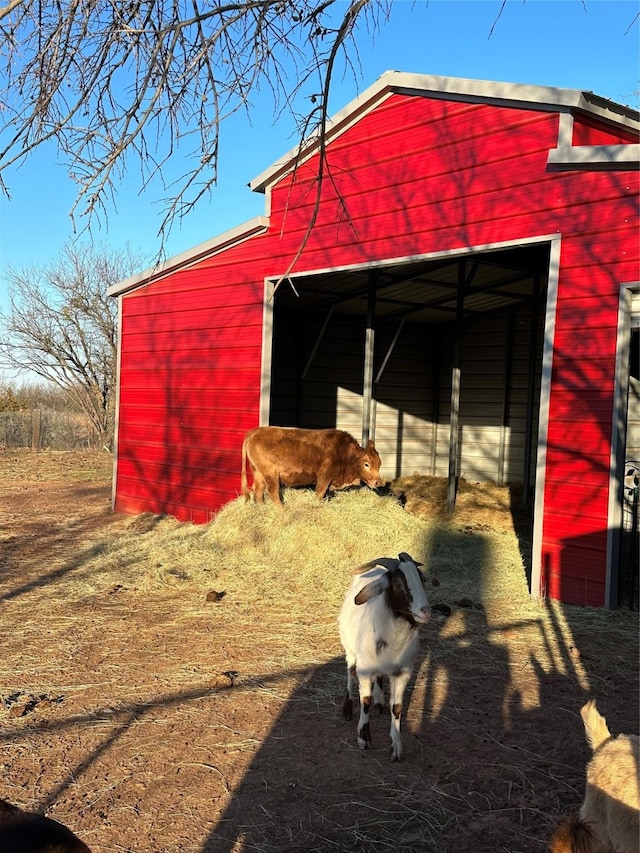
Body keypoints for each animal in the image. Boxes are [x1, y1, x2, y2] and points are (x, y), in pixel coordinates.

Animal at [239, 426, 380, 506]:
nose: (378, 482)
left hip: (258, 472)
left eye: (379, 463)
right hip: (270, 473)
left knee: (258, 489)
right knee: (272, 491)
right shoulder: (324, 476)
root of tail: (256, 431)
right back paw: (283, 509)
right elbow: (319, 494)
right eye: (366, 464)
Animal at [340, 548, 430, 764]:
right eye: (397, 584)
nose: (425, 611)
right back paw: (347, 708)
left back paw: (380, 702)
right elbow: (365, 701)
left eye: (421, 579)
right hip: (350, 651)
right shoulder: (364, 669)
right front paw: (364, 739)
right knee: (349, 673)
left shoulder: (402, 672)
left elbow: (397, 707)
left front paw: (396, 748)